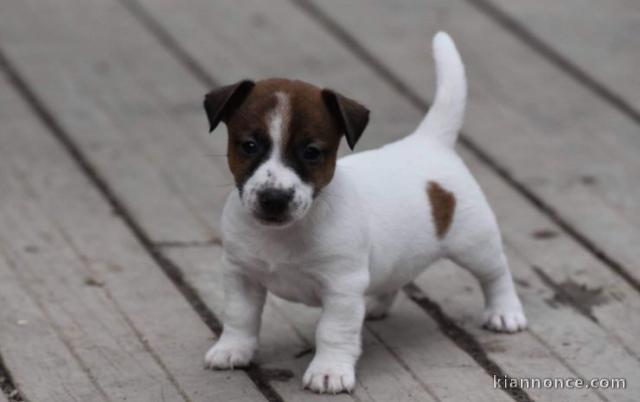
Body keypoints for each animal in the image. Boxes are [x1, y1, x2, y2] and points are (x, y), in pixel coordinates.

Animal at [204, 33, 524, 394]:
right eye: (249, 146)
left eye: (312, 152)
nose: (274, 198)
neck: (284, 233)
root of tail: (428, 142)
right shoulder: (240, 274)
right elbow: (239, 316)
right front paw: (232, 349)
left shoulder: (342, 288)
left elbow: (332, 331)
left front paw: (329, 371)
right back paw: (375, 304)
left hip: (475, 241)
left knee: (496, 273)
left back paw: (504, 311)